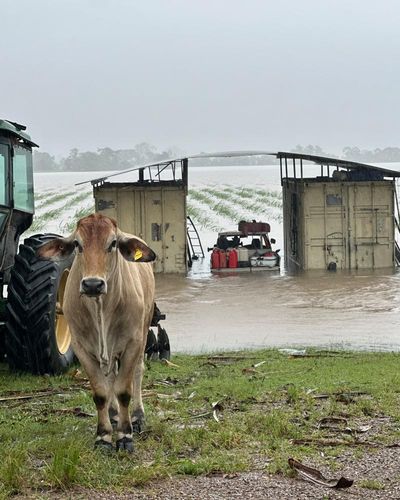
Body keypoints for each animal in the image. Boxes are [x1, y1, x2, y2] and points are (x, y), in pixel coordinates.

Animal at [38, 214, 156, 454]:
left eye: (113, 243)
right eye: (77, 244)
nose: (92, 284)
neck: (101, 309)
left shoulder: (133, 343)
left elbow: (123, 390)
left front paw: (125, 435)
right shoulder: (82, 348)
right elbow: (101, 392)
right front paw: (103, 436)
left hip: (144, 329)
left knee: (138, 372)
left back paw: (137, 416)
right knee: (110, 378)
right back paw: (113, 414)